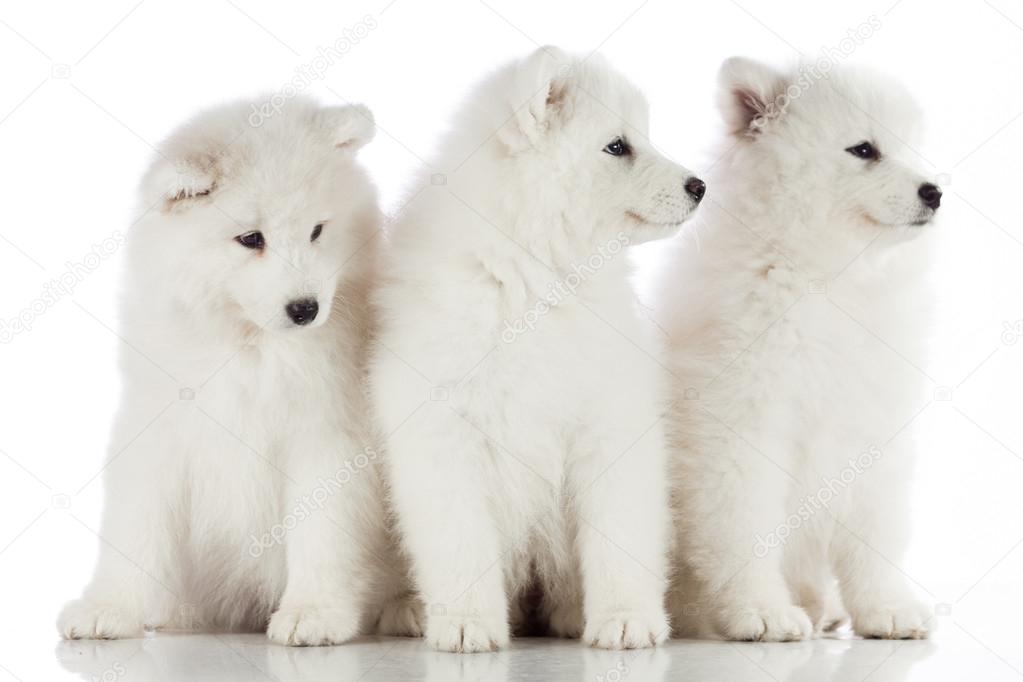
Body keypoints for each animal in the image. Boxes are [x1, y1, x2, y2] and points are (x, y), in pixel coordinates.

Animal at [57, 96, 419, 646]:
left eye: (317, 230)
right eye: (251, 239)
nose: (306, 309)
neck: (250, 346)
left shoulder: (326, 438)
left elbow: (321, 535)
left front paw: (313, 613)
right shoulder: (157, 432)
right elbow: (133, 528)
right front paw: (109, 607)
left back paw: (409, 609)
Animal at [372, 45, 707, 654]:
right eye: (617, 146)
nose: (700, 186)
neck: (538, 282)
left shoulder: (608, 425)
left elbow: (619, 534)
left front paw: (626, 619)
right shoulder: (444, 436)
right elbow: (460, 540)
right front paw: (467, 623)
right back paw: (410, 610)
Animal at [654, 57, 941, 642]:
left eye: (913, 147)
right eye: (864, 150)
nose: (935, 191)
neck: (827, 277)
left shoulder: (874, 422)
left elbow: (877, 530)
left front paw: (886, 606)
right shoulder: (740, 428)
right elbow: (744, 530)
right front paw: (761, 611)